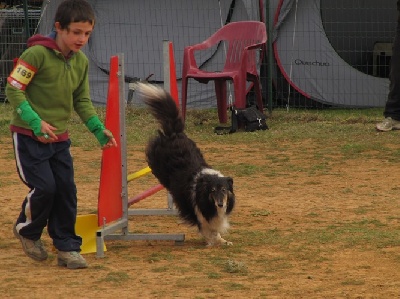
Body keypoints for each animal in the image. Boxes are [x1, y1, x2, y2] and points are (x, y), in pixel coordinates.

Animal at [138, 84, 236, 246]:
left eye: (223, 190)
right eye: (213, 191)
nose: (221, 204)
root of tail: (173, 132)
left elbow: (215, 229)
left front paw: (223, 241)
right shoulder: (199, 212)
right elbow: (208, 229)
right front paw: (212, 241)